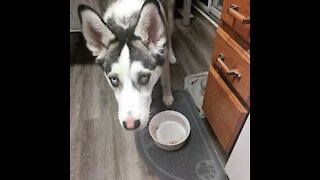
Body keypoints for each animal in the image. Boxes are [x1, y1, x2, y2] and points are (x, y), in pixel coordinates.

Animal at [78, 0, 176, 131]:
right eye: (114, 79)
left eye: (144, 77)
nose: (130, 125)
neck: (125, 26)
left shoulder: (162, 59)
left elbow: (166, 81)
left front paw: (167, 97)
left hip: (169, 17)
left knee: (169, 35)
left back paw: (171, 55)